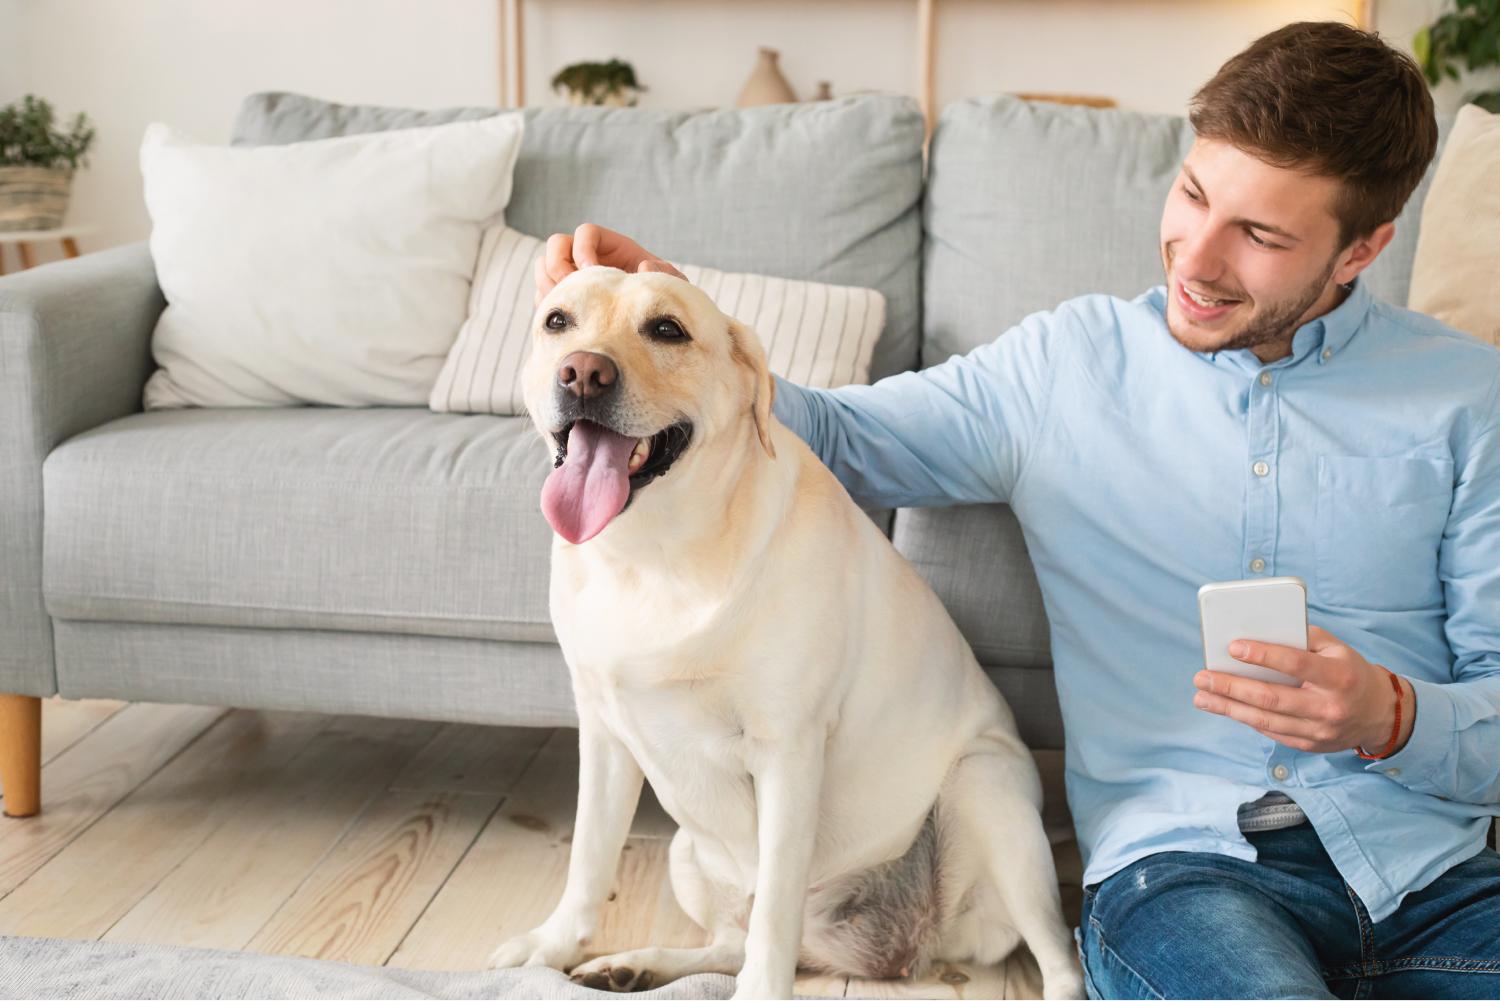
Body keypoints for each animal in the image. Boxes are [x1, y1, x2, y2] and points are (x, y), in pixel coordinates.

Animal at [486, 268, 1086, 1001]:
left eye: (667, 329)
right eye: (557, 321)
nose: (582, 372)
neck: (655, 556)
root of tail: (904, 950)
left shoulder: (787, 752)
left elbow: (775, 906)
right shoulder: (602, 733)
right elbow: (589, 860)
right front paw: (551, 945)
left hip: (987, 791)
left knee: (1060, 957)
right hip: (688, 851)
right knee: (727, 943)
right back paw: (636, 964)